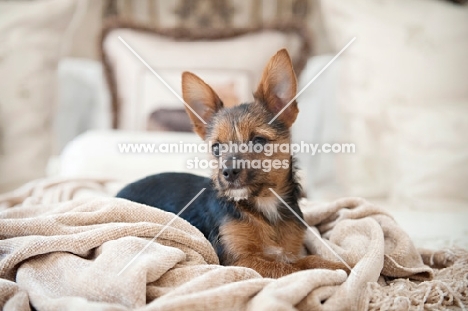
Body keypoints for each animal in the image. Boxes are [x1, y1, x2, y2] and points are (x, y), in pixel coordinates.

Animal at [117, 49, 350, 280]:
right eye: (216, 148)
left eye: (259, 141)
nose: (228, 172)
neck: (264, 206)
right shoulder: (238, 261)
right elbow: (290, 268)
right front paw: (336, 270)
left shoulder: (290, 249)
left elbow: (306, 260)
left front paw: (339, 266)